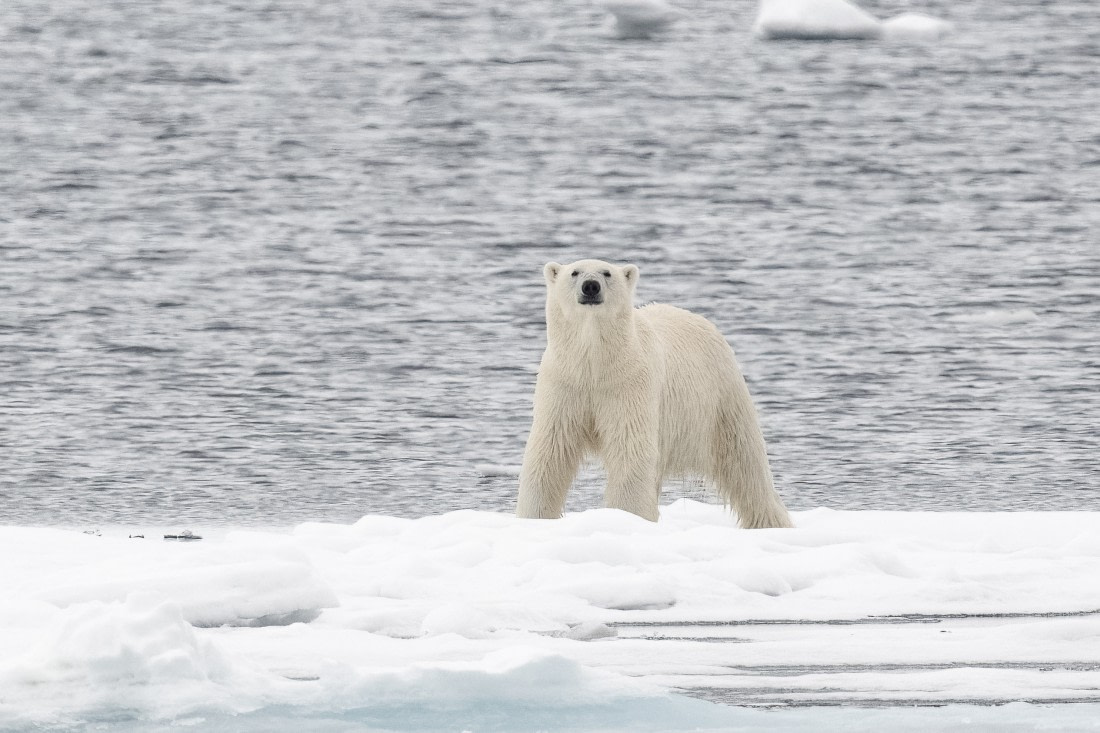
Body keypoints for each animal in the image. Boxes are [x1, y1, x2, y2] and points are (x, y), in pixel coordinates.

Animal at [516, 259, 792, 529]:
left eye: (606, 273)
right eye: (575, 272)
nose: (591, 286)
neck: (595, 364)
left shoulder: (630, 384)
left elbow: (630, 448)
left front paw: (626, 516)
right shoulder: (565, 383)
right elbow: (551, 448)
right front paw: (533, 518)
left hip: (720, 397)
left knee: (746, 460)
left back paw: (771, 522)